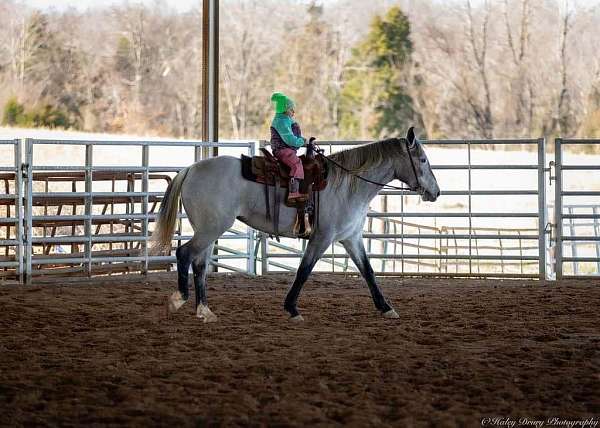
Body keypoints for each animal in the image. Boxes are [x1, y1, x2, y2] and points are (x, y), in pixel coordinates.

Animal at [152, 127, 438, 320]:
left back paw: (204, 310)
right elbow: (303, 271)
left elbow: (368, 272)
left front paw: (386, 307)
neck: (347, 185)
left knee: (200, 264)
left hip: (210, 229)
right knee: (185, 253)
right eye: (423, 160)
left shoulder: (351, 238)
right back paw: (179, 300)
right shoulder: (322, 237)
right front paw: (291, 308)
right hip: (211, 228)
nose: (435, 193)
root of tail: (190, 169)